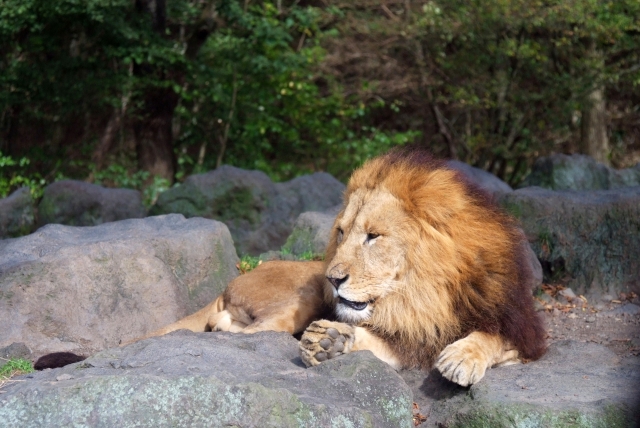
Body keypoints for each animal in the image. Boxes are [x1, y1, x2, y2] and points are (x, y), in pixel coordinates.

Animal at [136, 148, 544, 388]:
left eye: (373, 236)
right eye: (342, 232)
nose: (333, 278)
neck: (422, 295)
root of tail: (231, 282)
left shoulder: (522, 326)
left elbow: (492, 336)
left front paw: (461, 356)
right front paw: (329, 342)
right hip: (299, 298)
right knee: (238, 329)